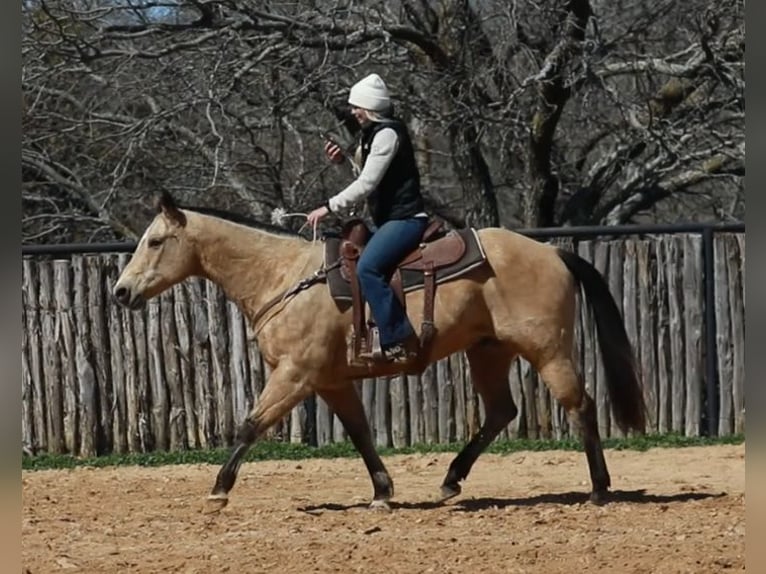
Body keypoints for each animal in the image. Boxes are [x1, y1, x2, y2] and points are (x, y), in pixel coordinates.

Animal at [111, 192, 644, 512]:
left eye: (155, 241)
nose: (120, 292)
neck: (283, 277)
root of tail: (553, 253)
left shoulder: (294, 375)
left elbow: (250, 424)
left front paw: (219, 491)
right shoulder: (331, 382)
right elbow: (361, 435)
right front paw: (383, 493)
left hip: (548, 351)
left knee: (581, 406)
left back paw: (599, 489)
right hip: (488, 352)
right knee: (500, 411)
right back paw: (451, 479)